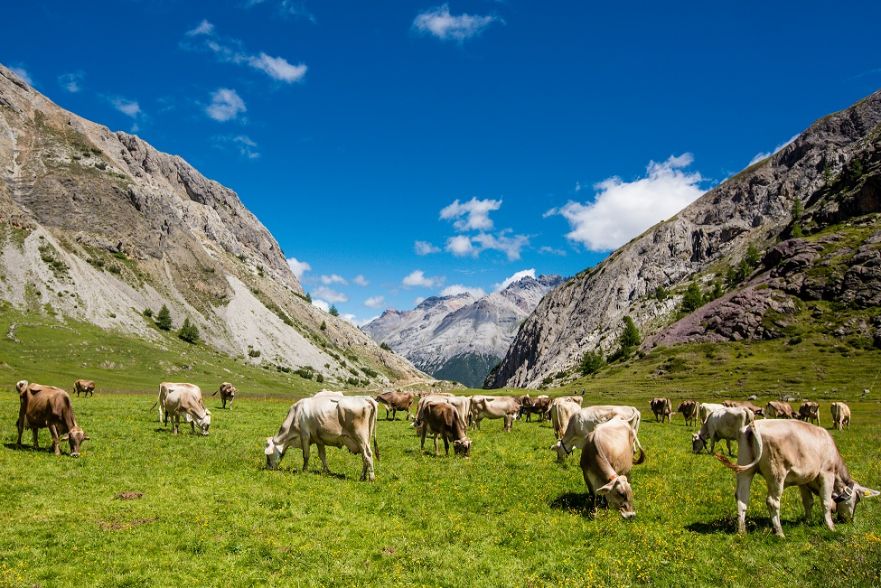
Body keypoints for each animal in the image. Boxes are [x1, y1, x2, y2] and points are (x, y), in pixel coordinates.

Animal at [720, 418, 876, 536]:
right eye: (857, 500)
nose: (849, 521)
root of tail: (754, 424)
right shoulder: (827, 473)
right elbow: (825, 501)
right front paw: (831, 526)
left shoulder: (804, 479)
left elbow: (808, 502)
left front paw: (808, 521)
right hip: (777, 474)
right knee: (772, 502)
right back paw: (779, 532)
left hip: (745, 469)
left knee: (742, 498)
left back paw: (742, 531)